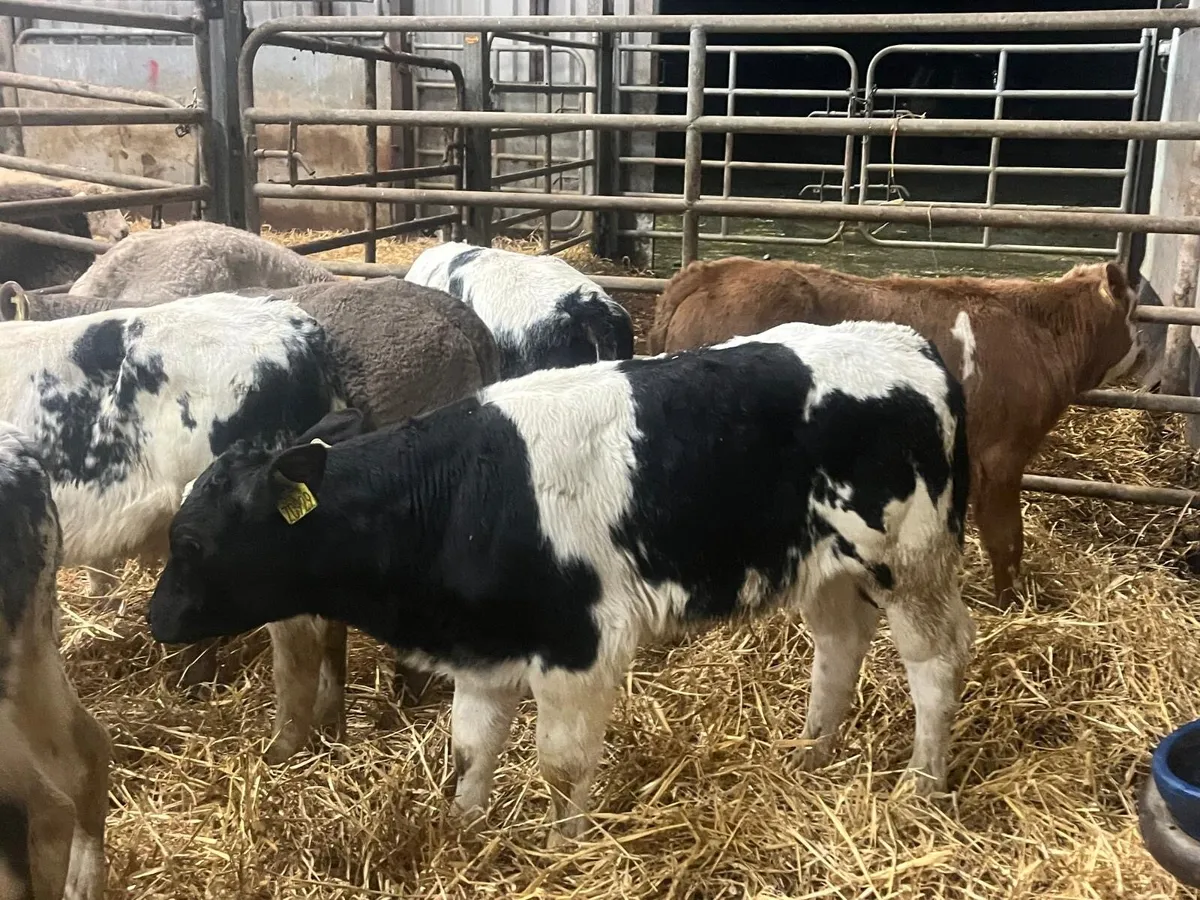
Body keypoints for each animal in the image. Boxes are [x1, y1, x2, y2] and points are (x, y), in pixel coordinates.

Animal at [147, 319, 974, 846]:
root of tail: (911, 343)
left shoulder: (578, 648)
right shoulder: (484, 652)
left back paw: (922, 784)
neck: (459, 496)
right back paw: (812, 751)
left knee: (936, 663)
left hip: (909, 563)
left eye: (190, 541)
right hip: (826, 566)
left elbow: (560, 764)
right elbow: (469, 752)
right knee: (839, 644)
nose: (156, 618)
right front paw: (463, 834)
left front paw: (561, 849)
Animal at [646, 258, 1140, 606]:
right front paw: (1011, 606)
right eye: (1135, 313)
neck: (1039, 331)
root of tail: (709, 272)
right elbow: (1006, 538)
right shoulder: (1002, 455)